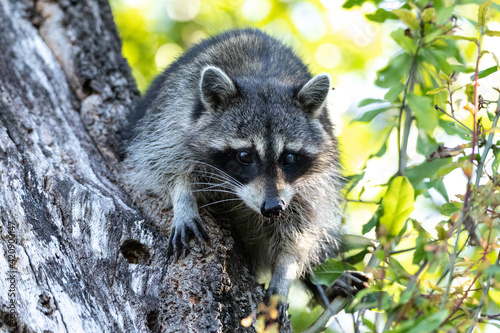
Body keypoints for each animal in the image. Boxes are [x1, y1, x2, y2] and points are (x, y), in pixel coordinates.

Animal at [123, 29, 370, 326]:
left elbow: (301, 230)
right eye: (244, 156)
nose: (273, 207)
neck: (262, 79)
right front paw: (183, 197)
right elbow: (161, 164)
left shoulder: (312, 183)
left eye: (289, 157)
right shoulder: (171, 118)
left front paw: (285, 273)